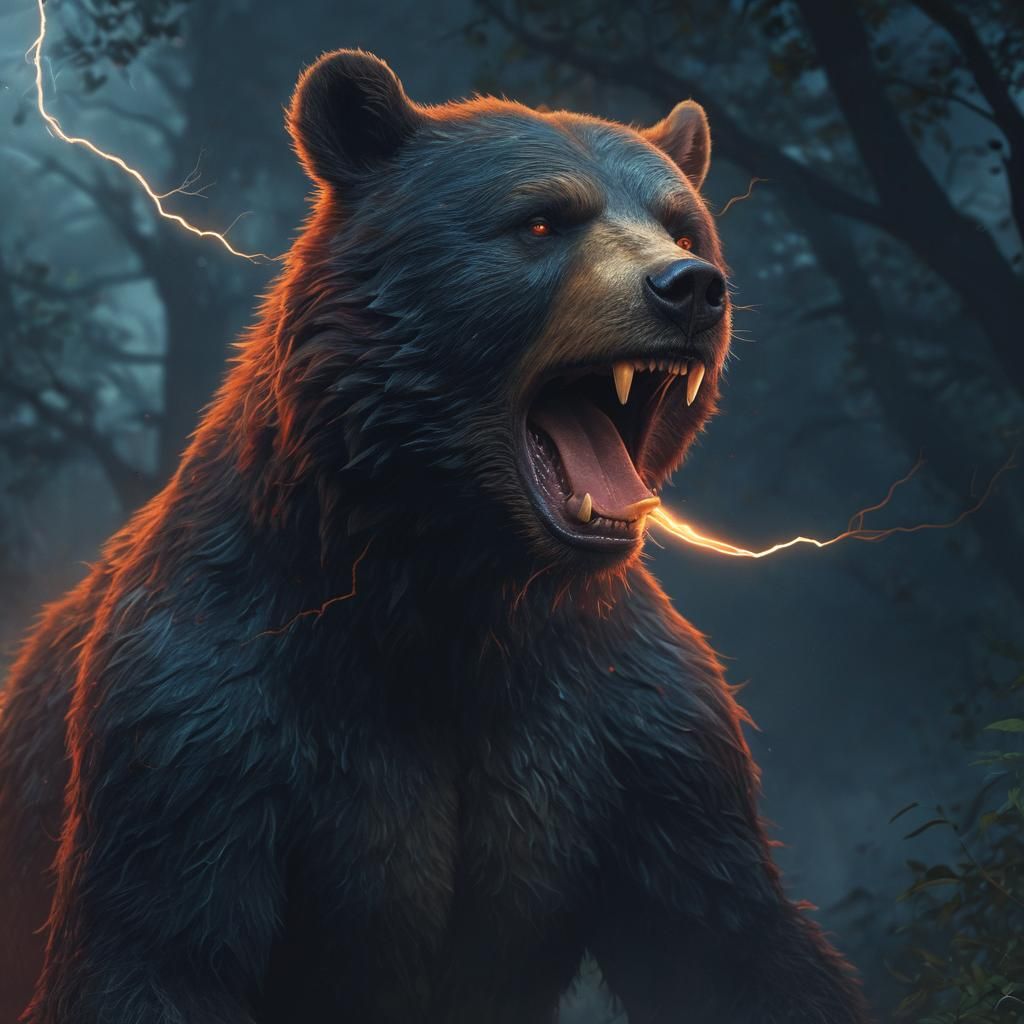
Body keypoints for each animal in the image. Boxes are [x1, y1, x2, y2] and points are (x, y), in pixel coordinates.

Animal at [0, 50, 870, 1024]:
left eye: (683, 224)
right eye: (542, 218)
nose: (689, 289)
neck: (445, 584)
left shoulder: (634, 733)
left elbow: (732, 942)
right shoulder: (209, 717)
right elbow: (160, 950)